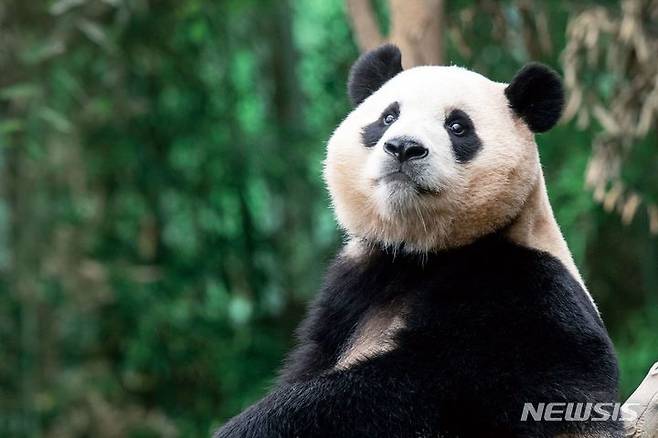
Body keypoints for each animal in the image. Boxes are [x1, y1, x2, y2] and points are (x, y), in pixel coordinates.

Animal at [217, 45, 620, 438]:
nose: (403, 148)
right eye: (388, 117)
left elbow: (424, 386)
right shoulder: (352, 286)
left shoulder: (529, 289)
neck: (422, 251)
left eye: (457, 126)